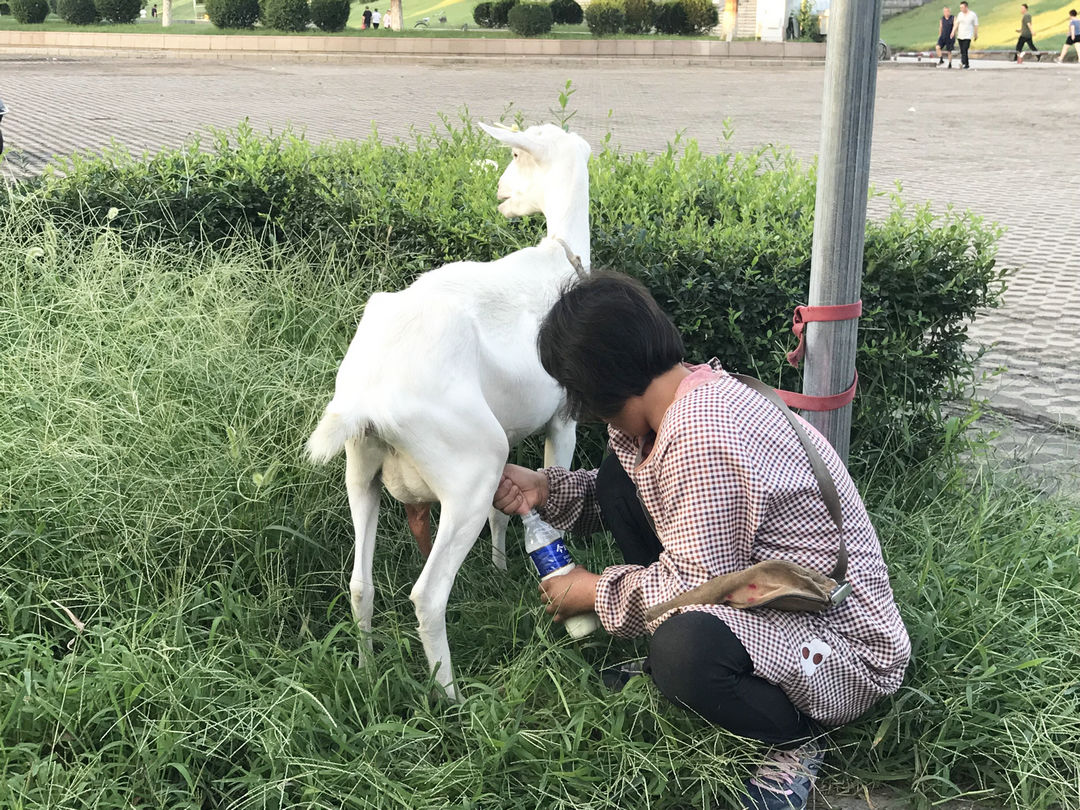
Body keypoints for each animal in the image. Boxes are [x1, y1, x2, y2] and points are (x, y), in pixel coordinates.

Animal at [304, 123, 591, 699]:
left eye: (516, 155)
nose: (500, 194)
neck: (560, 259)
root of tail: (367, 395)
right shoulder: (562, 422)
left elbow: (506, 513)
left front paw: (502, 568)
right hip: (470, 469)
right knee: (428, 595)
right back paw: (451, 700)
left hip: (361, 472)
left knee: (360, 585)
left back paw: (367, 672)